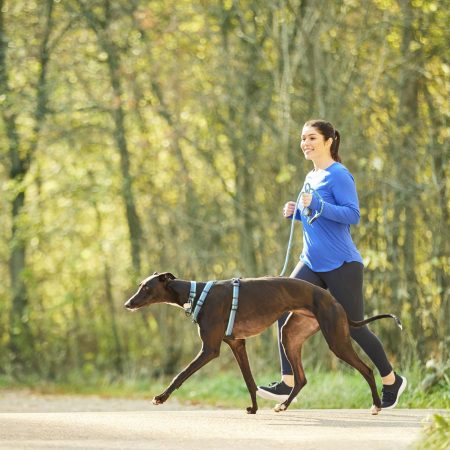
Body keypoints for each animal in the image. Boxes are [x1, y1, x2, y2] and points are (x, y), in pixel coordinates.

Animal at [124, 270, 400, 414]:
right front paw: (254, 408)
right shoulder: (237, 344)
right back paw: (283, 405)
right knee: (301, 378)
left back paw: (376, 405)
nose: (127, 304)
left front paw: (160, 397)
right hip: (291, 336)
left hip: (336, 339)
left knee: (366, 369)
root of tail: (334, 300)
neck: (195, 293)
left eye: (146, 288)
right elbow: (249, 381)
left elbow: (180, 374)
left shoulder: (210, 349)